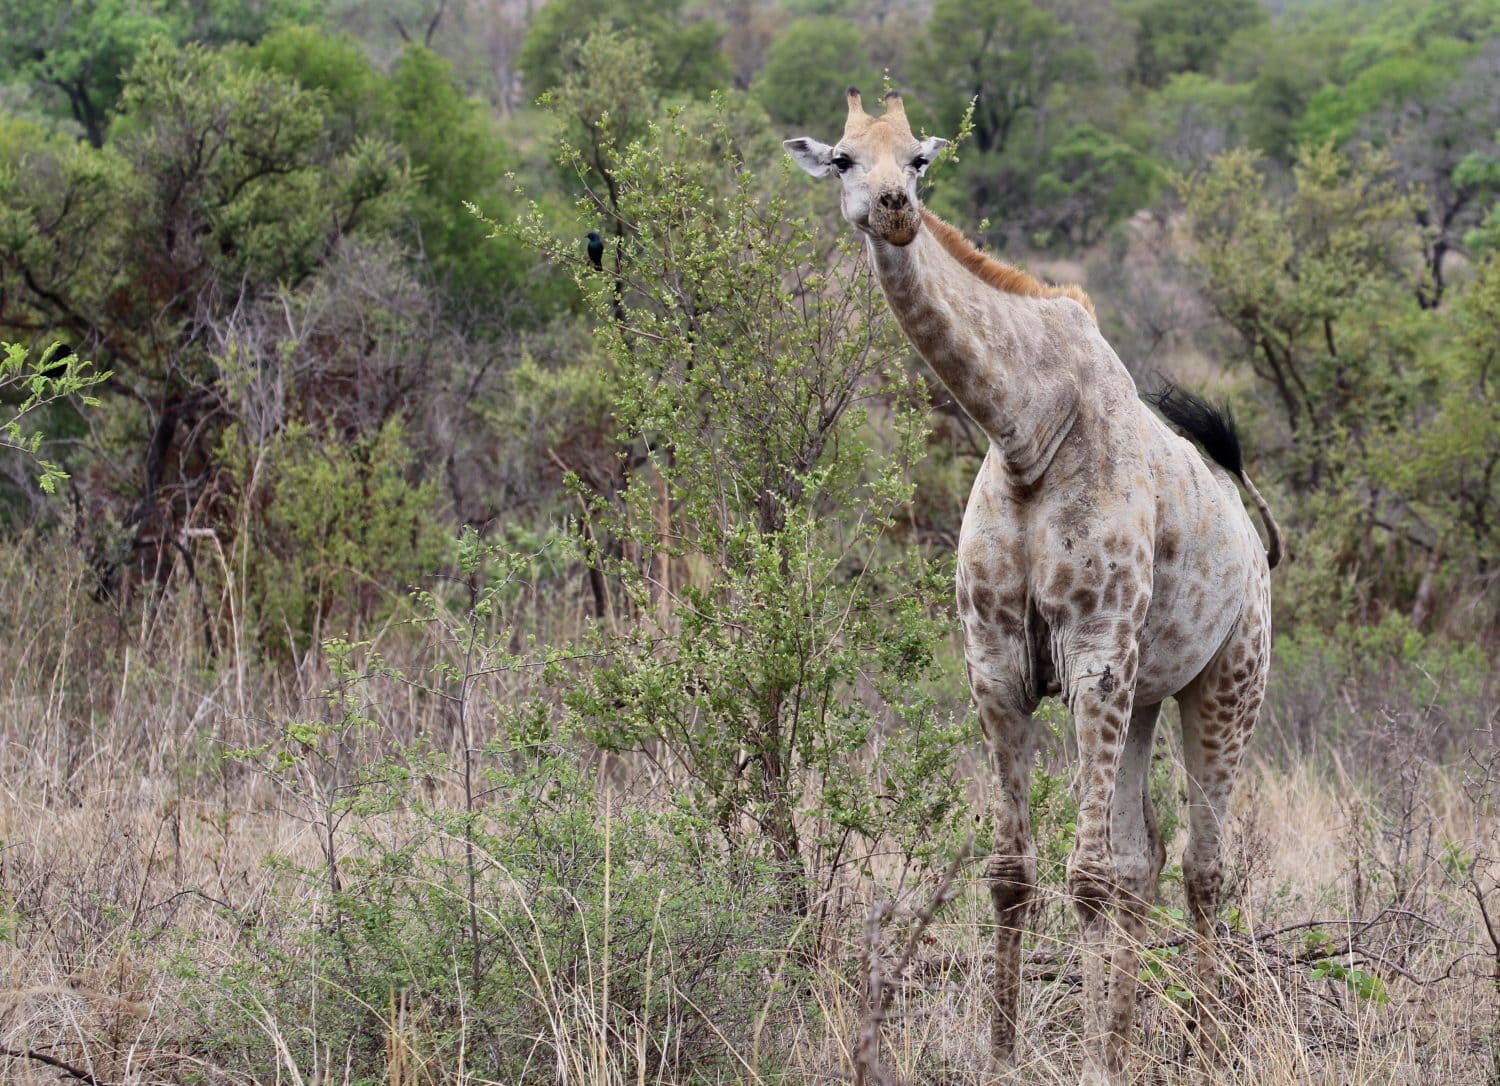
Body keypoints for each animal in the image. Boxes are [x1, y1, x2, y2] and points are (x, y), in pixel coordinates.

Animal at [786, 89, 1282, 1085]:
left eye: (921, 159)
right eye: (845, 158)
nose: (894, 209)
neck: (1026, 435)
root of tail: (1254, 537)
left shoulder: (1093, 656)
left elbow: (1083, 878)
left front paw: (1087, 1062)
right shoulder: (996, 665)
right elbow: (1012, 874)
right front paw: (1006, 1049)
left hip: (1228, 683)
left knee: (1205, 866)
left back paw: (1204, 1045)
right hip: (1146, 694)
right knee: (1145, 861)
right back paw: (1134, 1041)